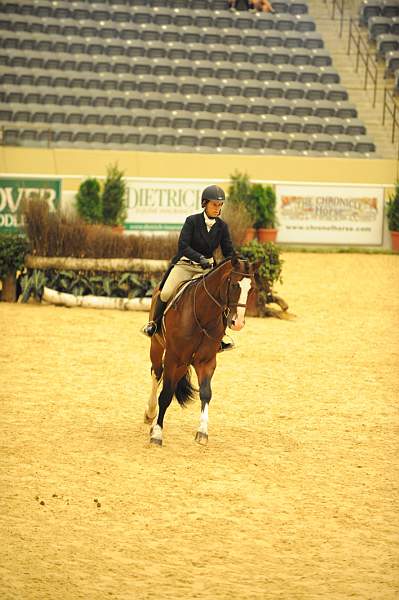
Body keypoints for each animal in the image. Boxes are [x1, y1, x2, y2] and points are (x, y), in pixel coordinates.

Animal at [144, 253, 260, 446]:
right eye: (234, 285)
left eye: (252, 289)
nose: (237, 323)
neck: (203, 315)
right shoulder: (173, 358)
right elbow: (166, 394)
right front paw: (158, 434)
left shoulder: (206, 361)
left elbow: (206, 394)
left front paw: (203, 432)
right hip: (158, 347)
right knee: (156, 373)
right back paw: (150, 414)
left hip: (183, 362)